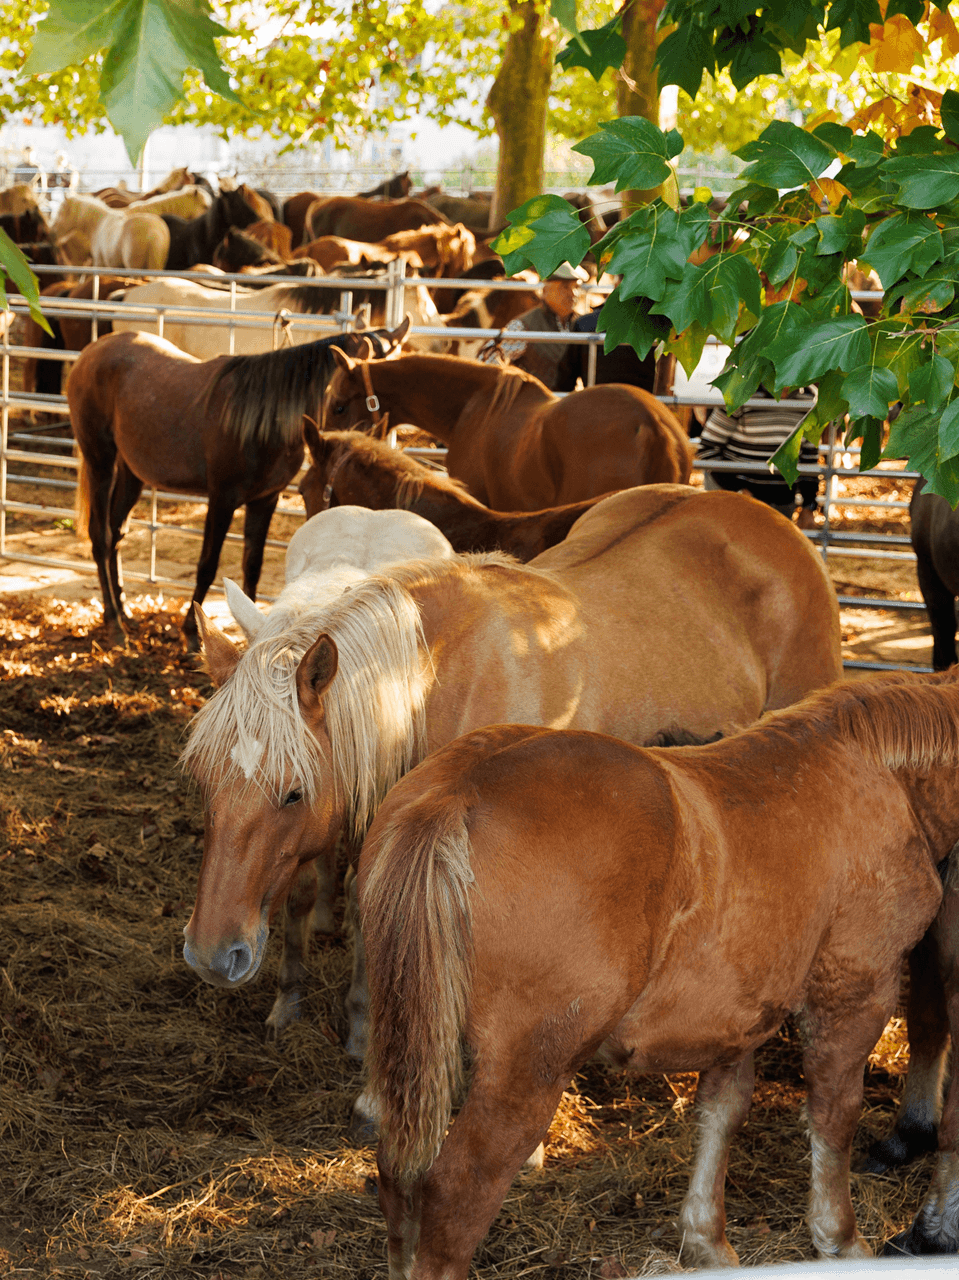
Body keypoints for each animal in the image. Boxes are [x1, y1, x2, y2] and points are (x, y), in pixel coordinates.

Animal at [66, 322, 410, 646]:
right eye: (342, 404)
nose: (370, 449)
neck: (261, 420)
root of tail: (90, 352)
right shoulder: (222, 499)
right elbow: (207, 565)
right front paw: (191, 633)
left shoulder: (265, 499)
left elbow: (252, 566)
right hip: (100, 462)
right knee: (101, 536)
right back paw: (114, 623)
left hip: (131, 473)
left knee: (116, 534)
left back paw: (124, 611)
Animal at [359, 668, 959, 1276]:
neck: (881, 775)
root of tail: (459, 790)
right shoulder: (856, 990)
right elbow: (835, 1116)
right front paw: (840, 1239)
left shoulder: (738, 1014)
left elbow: (723, 1110)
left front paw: (706, 1240)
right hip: (526, 1067)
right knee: (456, 1191)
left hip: (418, 1056)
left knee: (398, 1172)